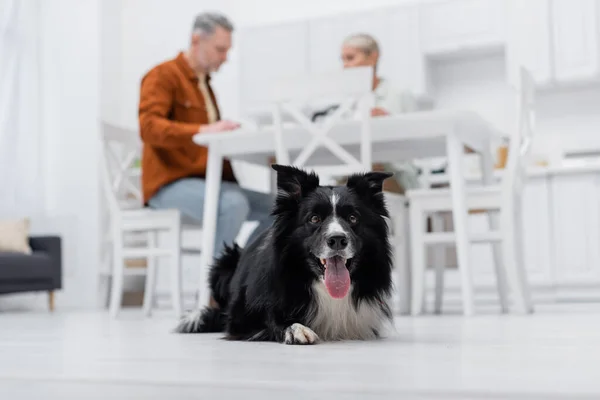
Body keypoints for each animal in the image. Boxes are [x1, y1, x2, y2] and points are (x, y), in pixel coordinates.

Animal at [176, 164, 396, 346]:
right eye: (314, 218)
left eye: (353, 218)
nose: (337, 240)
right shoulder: (241, 318)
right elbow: (270, 321)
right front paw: (296, 329)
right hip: (224, 263)